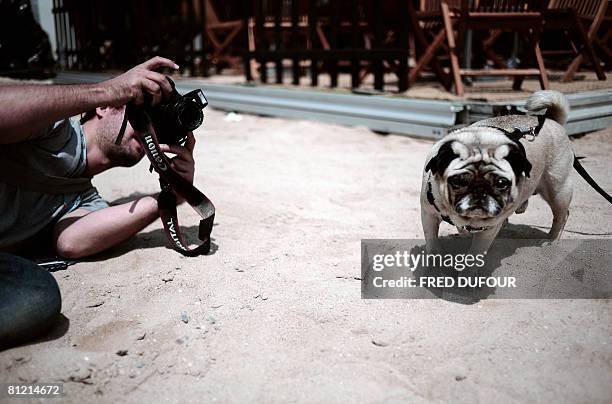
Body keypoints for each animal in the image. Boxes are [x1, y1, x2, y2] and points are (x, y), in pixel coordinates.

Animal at [420, 91, 572, 256]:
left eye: (501, 184)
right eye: (458, 181)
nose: (480, 191)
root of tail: (550, 120)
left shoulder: (488, 229)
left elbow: (475, 253)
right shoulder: (428, 215)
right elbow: (432, 238)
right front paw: (435, 255)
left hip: (558, 192)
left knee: (562, 216)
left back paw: (551, 240)